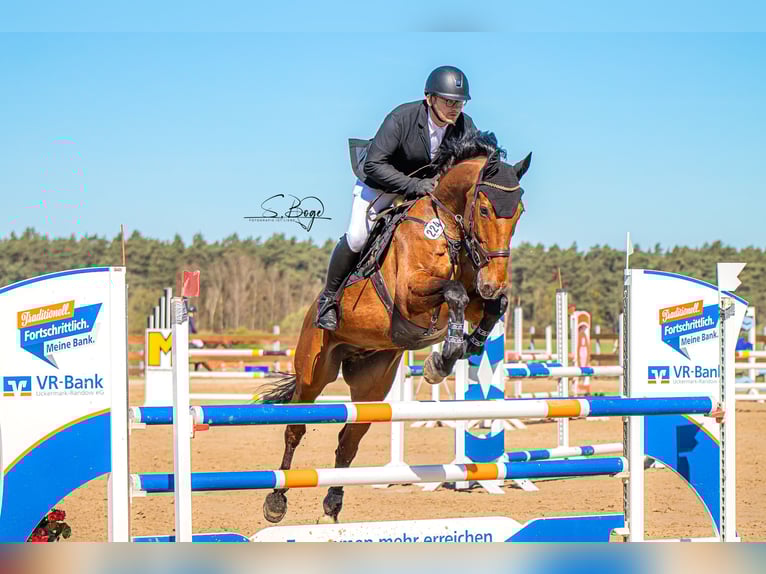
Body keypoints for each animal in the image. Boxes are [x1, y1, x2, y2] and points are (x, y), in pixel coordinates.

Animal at [258, 130, 530, 525]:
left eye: (519, 213)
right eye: (483, 210)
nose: (493, 281)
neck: (447, 230)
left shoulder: (475, 297)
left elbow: (493, 306)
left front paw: (461, 350)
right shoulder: (410, 297)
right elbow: (454, 293)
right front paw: (445, 355)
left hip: (372, 385)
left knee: (348, 442)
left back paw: (332, 508)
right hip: (314, 371)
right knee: (295, 428)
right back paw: (276, 501)